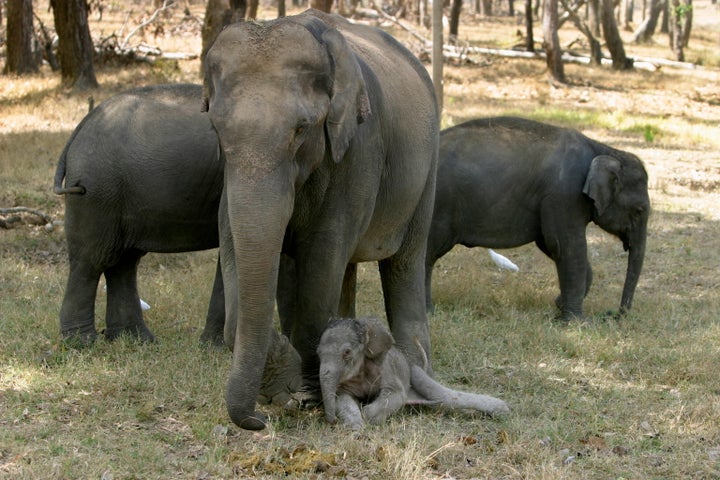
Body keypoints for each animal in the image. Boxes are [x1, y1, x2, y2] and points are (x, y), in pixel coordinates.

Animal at [53, 83, 226, 344]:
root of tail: (83, 124)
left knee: (123, 261)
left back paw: (134, 339)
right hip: (97, 190)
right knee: (92, 259)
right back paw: (82, 343)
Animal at [318, 316, 510, 430]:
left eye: (347, 352)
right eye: (318, 353)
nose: (331, 421)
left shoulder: (387, 367)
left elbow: (395, 394)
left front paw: (368, 416)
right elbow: (342, 399)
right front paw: (356, 427)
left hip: (415, 372)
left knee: (446, 398)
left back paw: (503, 410)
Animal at [424, 116, 648, 318]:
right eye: (639, 210)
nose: (615, 316)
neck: (603, 149)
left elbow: (549, 243)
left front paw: (560, 307)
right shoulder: (564, 194)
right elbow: (566, 246)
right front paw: (576, 323)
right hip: (438, 205)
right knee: (426, 254)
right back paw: (427, 313)